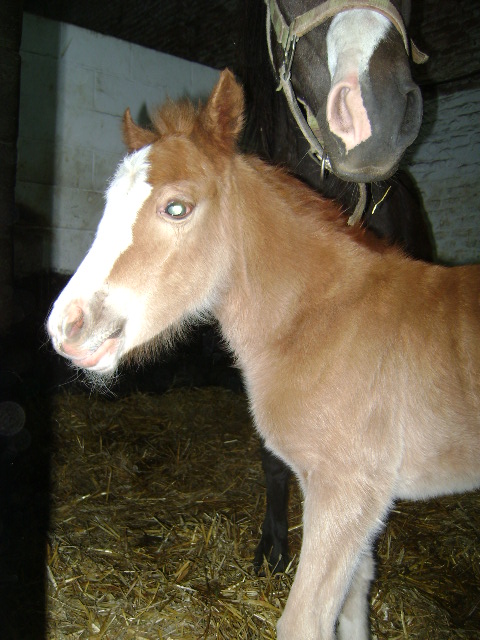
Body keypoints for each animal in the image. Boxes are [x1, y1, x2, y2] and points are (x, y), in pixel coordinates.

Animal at [47, 71, 480, 640]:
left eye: (176, 207)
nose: (66, 326)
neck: (324, 318)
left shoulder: (346, 491)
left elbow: (305, 620)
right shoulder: (354, 498)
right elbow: (354, 595)